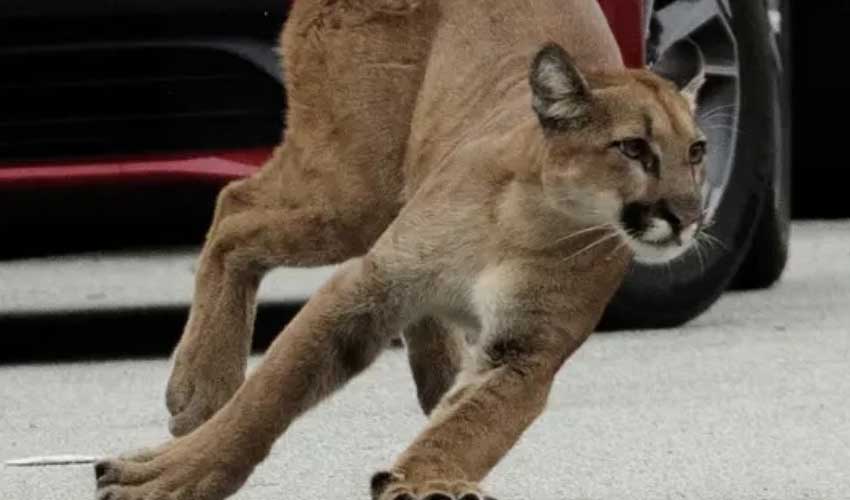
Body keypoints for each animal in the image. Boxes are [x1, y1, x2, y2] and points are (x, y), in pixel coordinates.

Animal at [94, 1, 708, 499]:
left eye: (697, 151)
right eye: (633, 148)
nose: (690, 216)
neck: (532, 221)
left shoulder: (524, 348)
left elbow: (473, 425)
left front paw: (425, 481)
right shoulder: (370, 284)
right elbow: (269, 394)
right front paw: (174, 476)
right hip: (355, 191)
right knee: (234, 208)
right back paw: (201, 389)